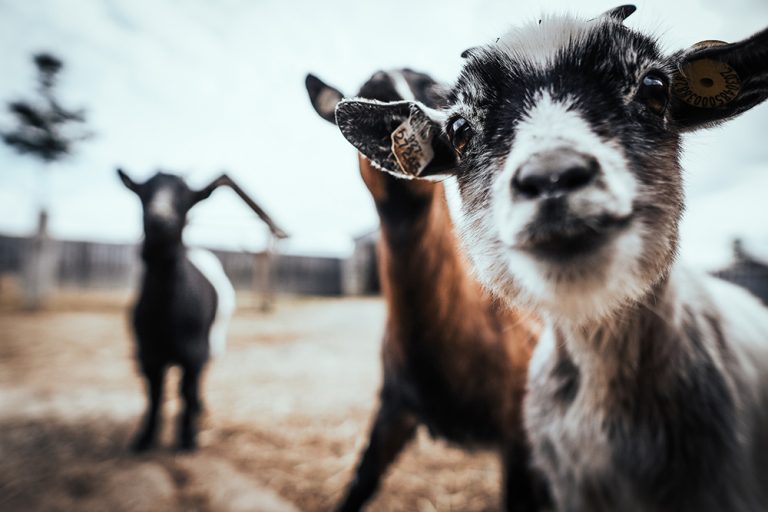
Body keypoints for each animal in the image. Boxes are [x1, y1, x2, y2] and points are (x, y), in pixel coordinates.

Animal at [118, 169, 284, 452]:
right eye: (143, 192)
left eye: (185, 196)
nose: (160, 218)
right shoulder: (147, 353)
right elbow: (154, 393)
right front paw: (145, 438)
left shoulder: (195, 350)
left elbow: (187, 389)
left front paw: (188, 436)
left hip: (213, 340)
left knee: (198, 380)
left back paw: (198, 408)